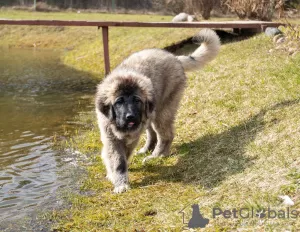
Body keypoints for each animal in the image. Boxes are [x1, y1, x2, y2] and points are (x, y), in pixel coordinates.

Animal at [96, 28, 220, 192]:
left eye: (137, 100)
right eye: (119, 102)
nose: (130, 117)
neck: (119, 126)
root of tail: (175, 58)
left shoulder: (131, 137)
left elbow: (122, 160)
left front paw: (121, 183)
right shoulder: (110, 137)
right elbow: (115, 159)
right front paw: (114, 176)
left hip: (162, 112)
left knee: (166, 135)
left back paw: (157, 156)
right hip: (150, 115)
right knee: (153, 134)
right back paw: (147, 150)